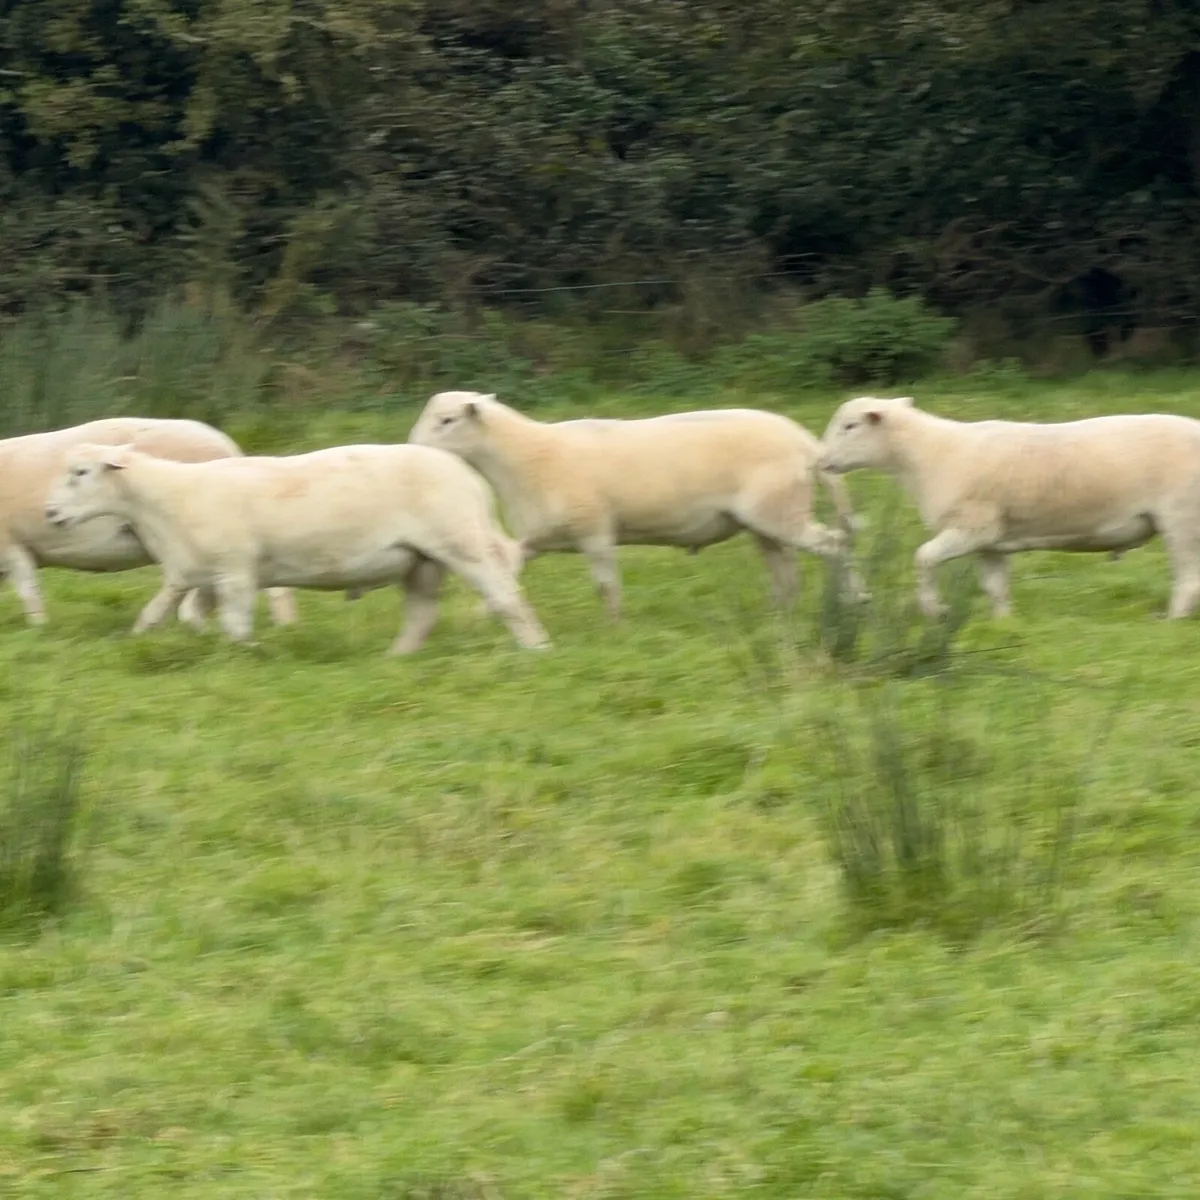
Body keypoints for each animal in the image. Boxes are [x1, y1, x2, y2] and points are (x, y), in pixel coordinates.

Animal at [43, 442, 550, 654]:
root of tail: (469, 477)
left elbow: (235, 623)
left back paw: (536, 649)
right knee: (422, 613)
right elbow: (161, 616)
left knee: (505, 596)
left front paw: (249, 654)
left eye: (81, 473)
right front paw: (150, 640)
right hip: (422, 559)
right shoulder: (199, 573)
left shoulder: (237, 570)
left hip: (459, 541)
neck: (163, 500)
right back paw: (396, 660)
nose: (49, 513)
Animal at [407, 391, 861, 618]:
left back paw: (853, 600)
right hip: (766, 519)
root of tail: (805, 441)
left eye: (447, 420)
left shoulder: (594, 532)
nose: (410, 448)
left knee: (834, 545)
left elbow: (606, 586)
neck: (527, 458)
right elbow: (508, 569)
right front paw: (489, 612)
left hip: (779, 510)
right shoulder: (539, 538)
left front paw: (614, 628)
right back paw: (780, 611)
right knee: (783, 565)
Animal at [817, 394, 1200, 620]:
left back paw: (1171, 621)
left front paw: (933, 609)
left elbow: (923, 557)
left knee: (1188, 579)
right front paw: (1004, 623)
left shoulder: (971, 528)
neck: (928, 455)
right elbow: (995, 587)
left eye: (850, 426)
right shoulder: (990, 542)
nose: (820, 461)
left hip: (1182, 519)